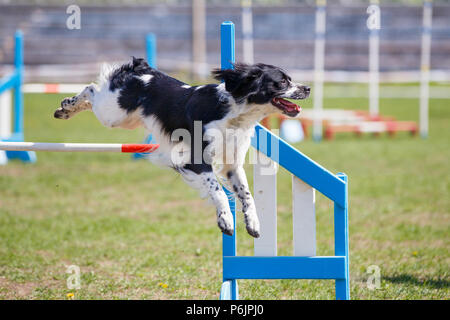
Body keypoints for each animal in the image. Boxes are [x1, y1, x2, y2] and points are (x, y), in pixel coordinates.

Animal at [54, 57, 310, 238]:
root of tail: (141, 68)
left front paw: (254, 224)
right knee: (90, 89)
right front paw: (226, 220)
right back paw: (65, 107)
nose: (307, 88)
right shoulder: (196, 159)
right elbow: (217, 190)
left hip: (126, 119)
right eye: (282, 81)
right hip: (113, 113)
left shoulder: (232, 165)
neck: (233, 112)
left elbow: (246, 194)